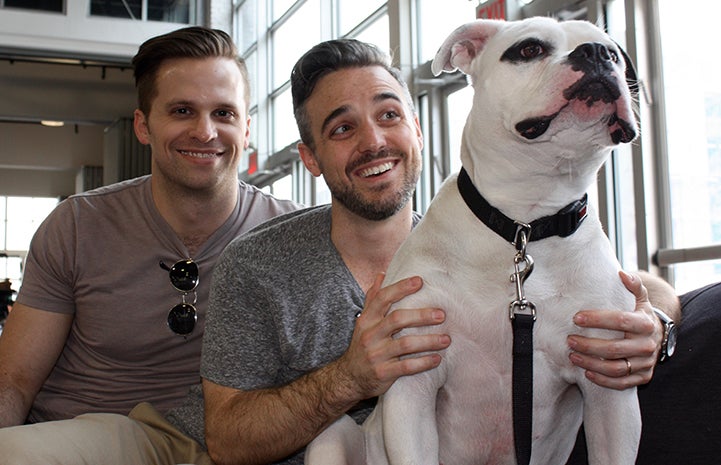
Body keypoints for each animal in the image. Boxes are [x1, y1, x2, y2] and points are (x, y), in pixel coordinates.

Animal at [306, 16, 640, 462]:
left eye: (616, 54)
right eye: (530, 49)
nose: (596, 53)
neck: (523, 227)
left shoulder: (609, 390)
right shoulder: (412, 381)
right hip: (331, 435)